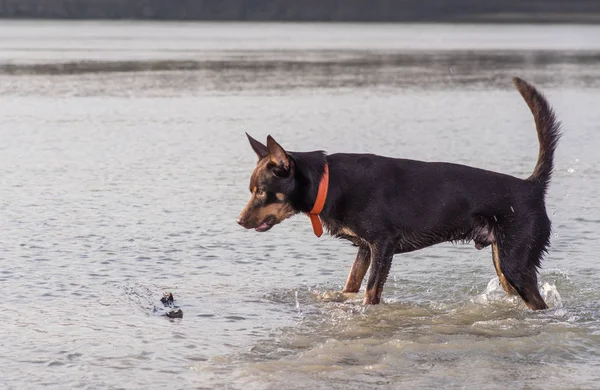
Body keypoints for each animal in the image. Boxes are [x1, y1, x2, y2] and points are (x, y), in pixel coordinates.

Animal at [237, 77, 560, 310]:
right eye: (251, 191)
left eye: (262, 192)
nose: (239, 221)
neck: (328, 183)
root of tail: (531, 186)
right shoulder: (364, 248)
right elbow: (351, 283)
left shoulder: (383, 244)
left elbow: (370, 291)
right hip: (503, 263)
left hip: (514, 263)